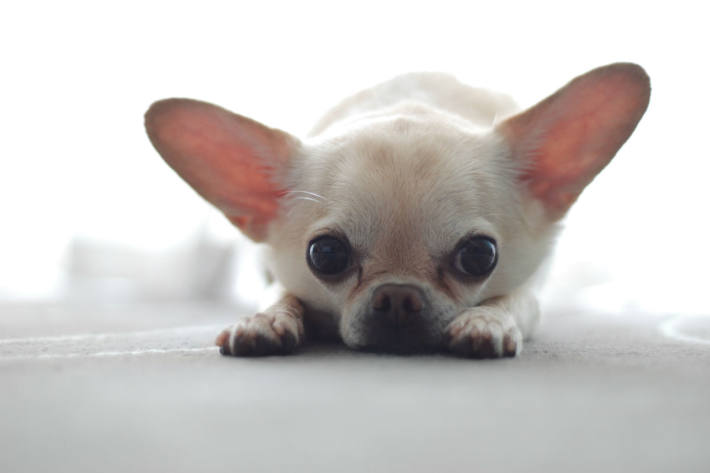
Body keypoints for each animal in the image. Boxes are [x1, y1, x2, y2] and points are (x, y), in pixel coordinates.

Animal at [143, 62, 652, 358]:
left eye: (480, 256)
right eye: (325, 255)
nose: (398, 297)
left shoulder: (532, 281)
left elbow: (516, 300)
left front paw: (487, 319)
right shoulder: (273, 271)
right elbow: (279, 291)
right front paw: (267, 318)